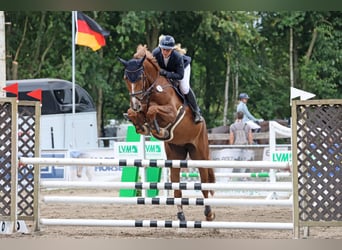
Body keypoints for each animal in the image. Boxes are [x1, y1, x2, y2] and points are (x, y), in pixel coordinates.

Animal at [119, 45, 216, 221]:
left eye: (140, 77)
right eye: (126, 78)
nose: (136, 104)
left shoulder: (171, 112)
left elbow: (152, 110)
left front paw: (156, 127)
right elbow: (135, 114)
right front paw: (142, 126)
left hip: (200, 153)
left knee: (204, 184)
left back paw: (209, 213)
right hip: (175, 155)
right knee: (177, 188)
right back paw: (181, 215)